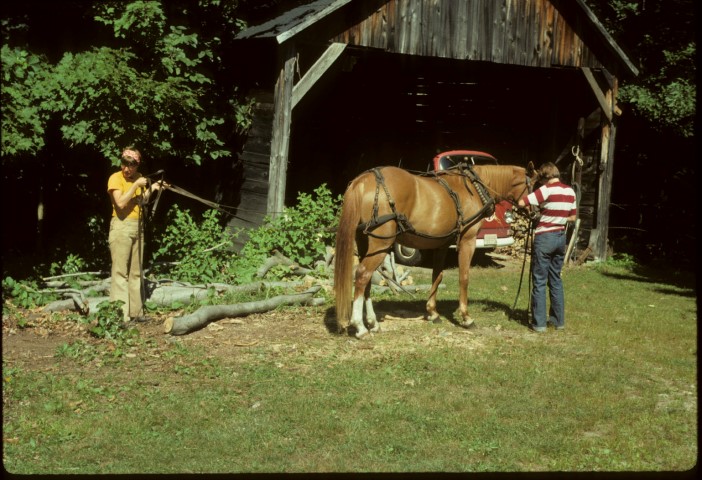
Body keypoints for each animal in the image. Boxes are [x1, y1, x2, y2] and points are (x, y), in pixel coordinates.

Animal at [332, 163, 536, 340]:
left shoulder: (441, 245)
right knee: (362, 275)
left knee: (365, 280)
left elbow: (437, 276)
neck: (474, 187)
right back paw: (360, 327)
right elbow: (464, 278)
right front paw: (466, 317)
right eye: (533, 186)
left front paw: (432, 313)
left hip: (365, 243)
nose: (536, 213)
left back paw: (372, 323)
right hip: (380, 245)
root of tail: (365, 180)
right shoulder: (467, 241)